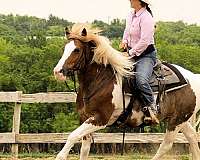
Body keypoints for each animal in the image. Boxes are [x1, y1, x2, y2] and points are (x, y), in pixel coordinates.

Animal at [53, 23, 200, 160]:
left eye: (76, 50)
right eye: (64, 48)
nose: (57, 72)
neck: (101, 80)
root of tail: (192, 78)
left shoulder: (100, 119)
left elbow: (73, 136)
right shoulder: (85, 118)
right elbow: (84, 149)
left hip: (176, 121)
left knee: (166, 145)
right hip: (181, 119)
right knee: (192, 137)